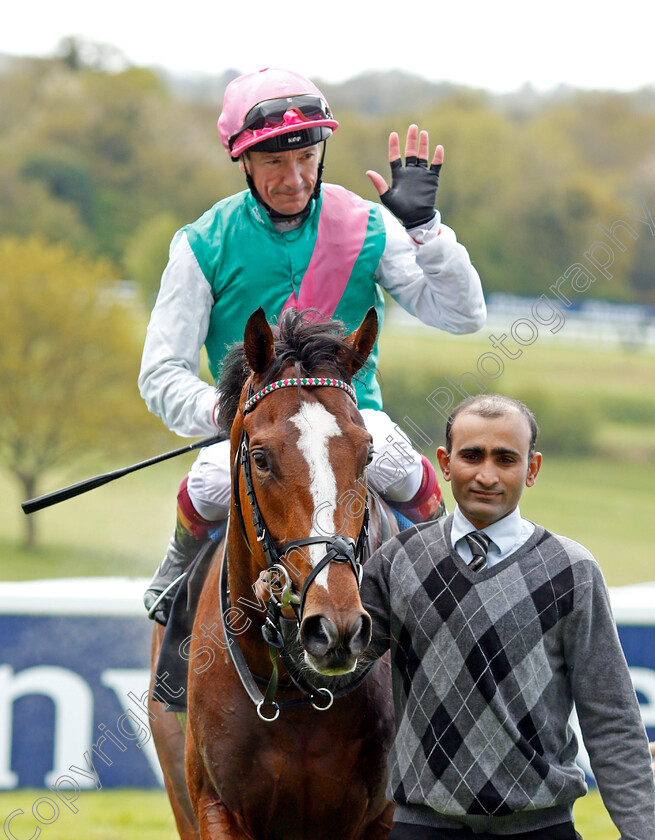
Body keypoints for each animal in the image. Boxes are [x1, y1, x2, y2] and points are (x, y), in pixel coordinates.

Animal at [149, 308, 394, 840]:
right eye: (260, 458)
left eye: (367, 453)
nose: (335, 625)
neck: (298, 694)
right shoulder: (216, 806)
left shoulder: (381, 815)